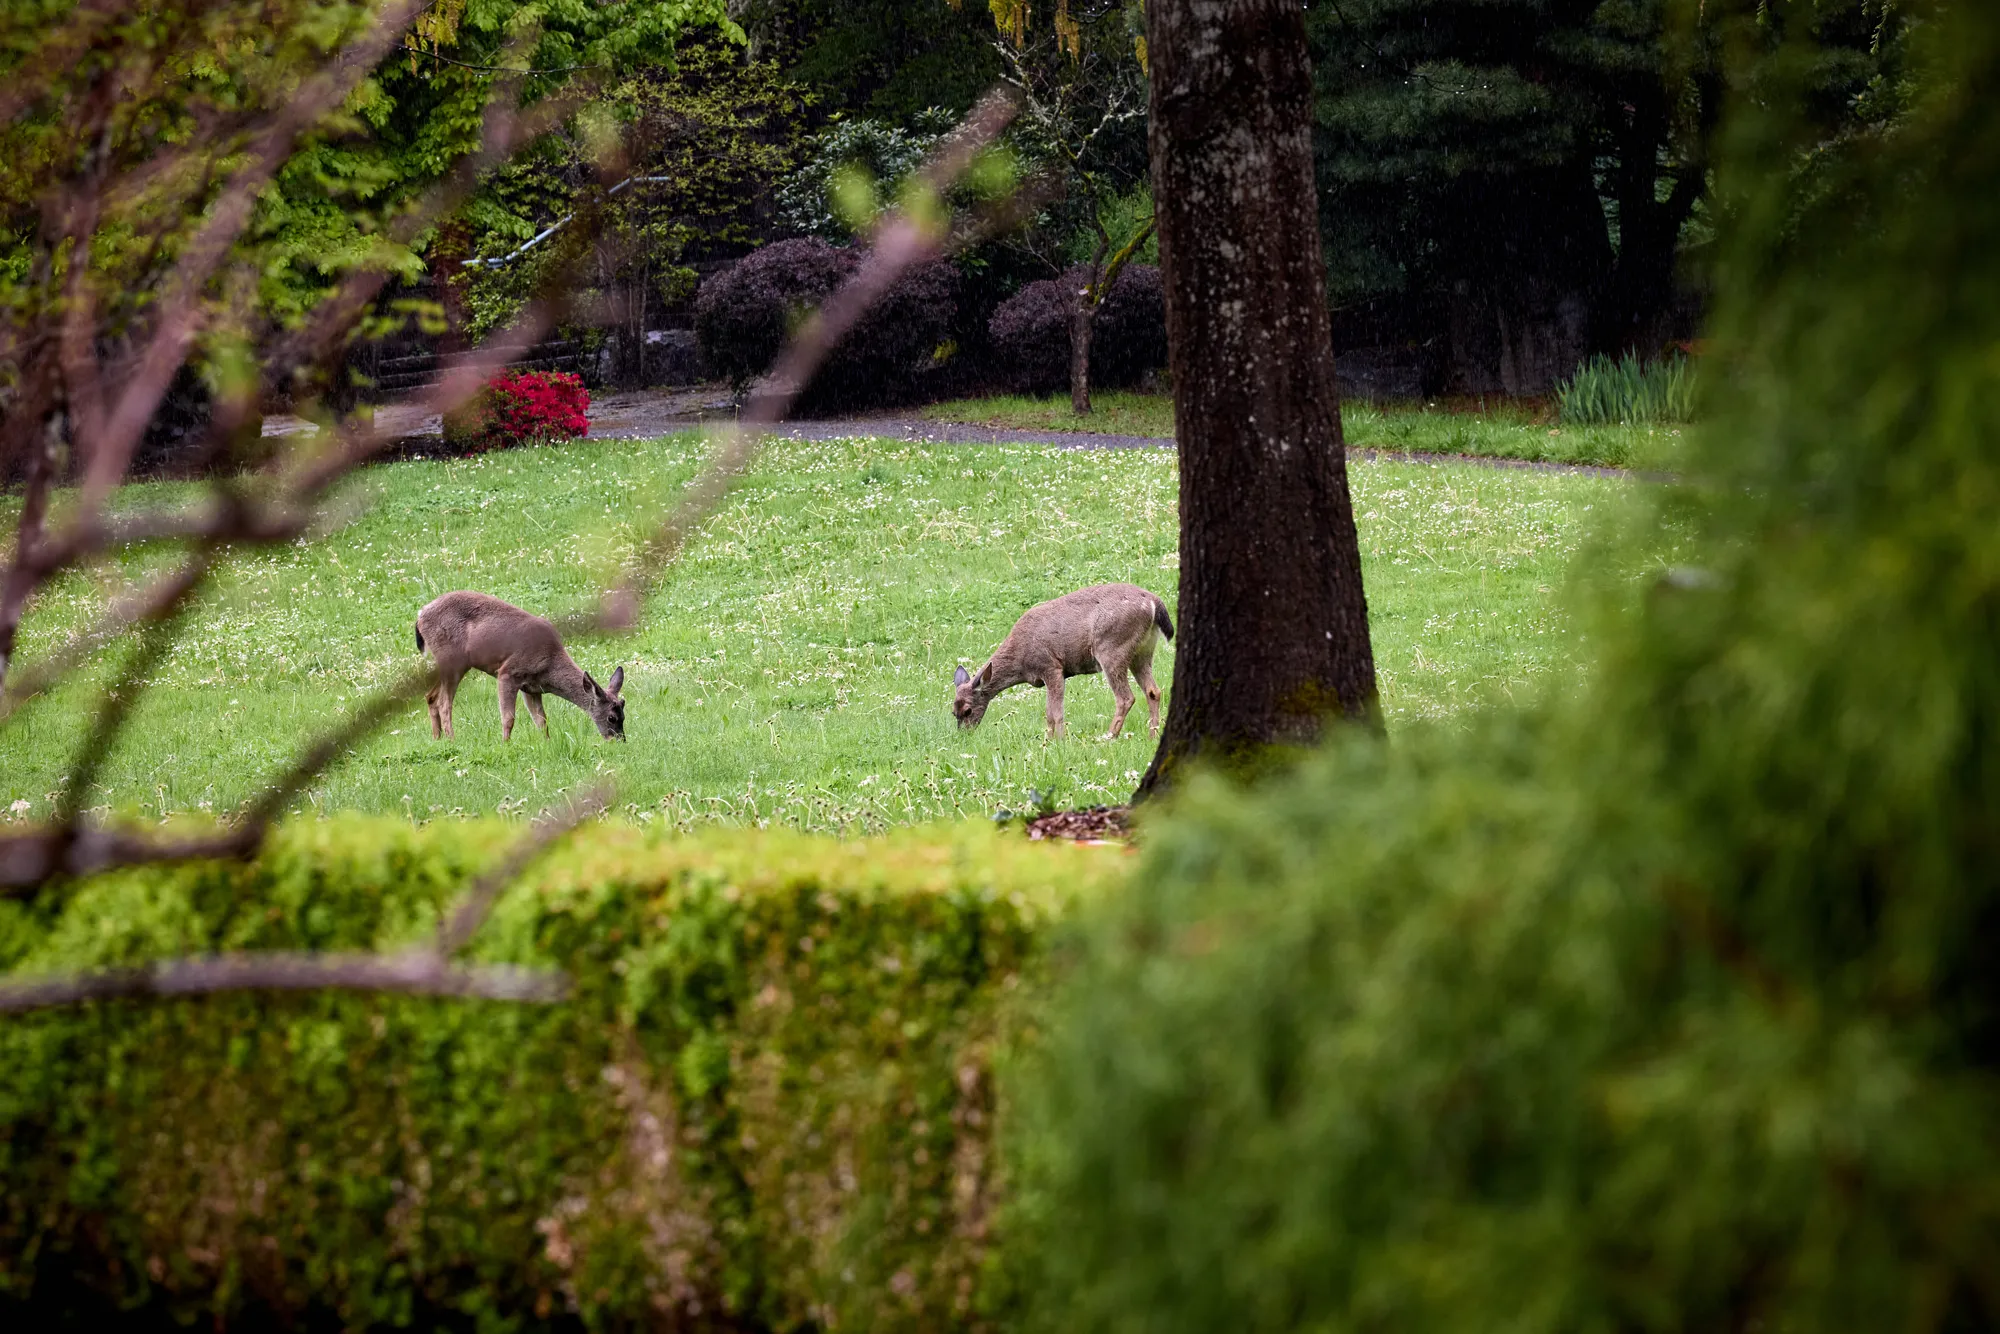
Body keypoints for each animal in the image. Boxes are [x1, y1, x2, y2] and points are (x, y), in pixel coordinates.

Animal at [414, 591, 625, 742]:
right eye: (611, 718)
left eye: (624, 715)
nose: (619, 740)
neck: (549, 665)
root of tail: (420, 615)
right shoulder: (508, 673)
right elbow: (509, 718)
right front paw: (505, 744)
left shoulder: (532, 688)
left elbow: (541, 720)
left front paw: (547, 743)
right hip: (452, 659)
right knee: (444, 702)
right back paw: (452, 740)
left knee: (431, 696)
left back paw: (437, 738)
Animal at [952, 582, 1174, 739]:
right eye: (953, 712)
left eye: (967, 710)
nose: (964, 735)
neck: (1020, 662)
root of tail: (1154, 601)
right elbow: (1049, 713)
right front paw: (1048, 741)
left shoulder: (1051, 666)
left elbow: (1055, 713)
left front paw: (1059, 741)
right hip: (1143, 651)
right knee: (1153, 691)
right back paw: (1152, 735)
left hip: (1111, 648)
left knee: (1126, 697)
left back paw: (1109, 737)